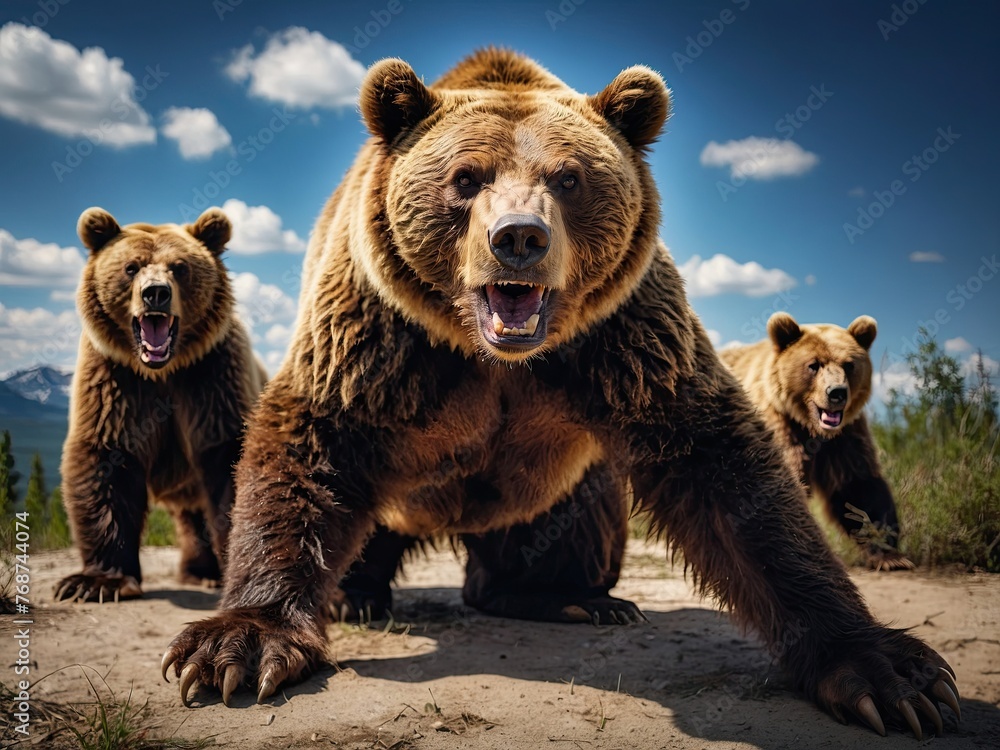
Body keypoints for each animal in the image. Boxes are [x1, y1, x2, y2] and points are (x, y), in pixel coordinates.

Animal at [54, 207, 266, 603]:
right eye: (131, 267)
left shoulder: (212, 381)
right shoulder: (115, 383)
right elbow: (106, 462)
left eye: (180, 267)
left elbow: (227, 461)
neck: (162, 371)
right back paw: (199, 572)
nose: (156, 293)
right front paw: (95, 582)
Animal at [719, 313, 912, 571]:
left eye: (849, 364)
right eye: (814, 364)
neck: (812, 428)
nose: (837, 392)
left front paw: (890, 555)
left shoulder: (844, 439)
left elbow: (858, 486)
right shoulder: (779, 425)